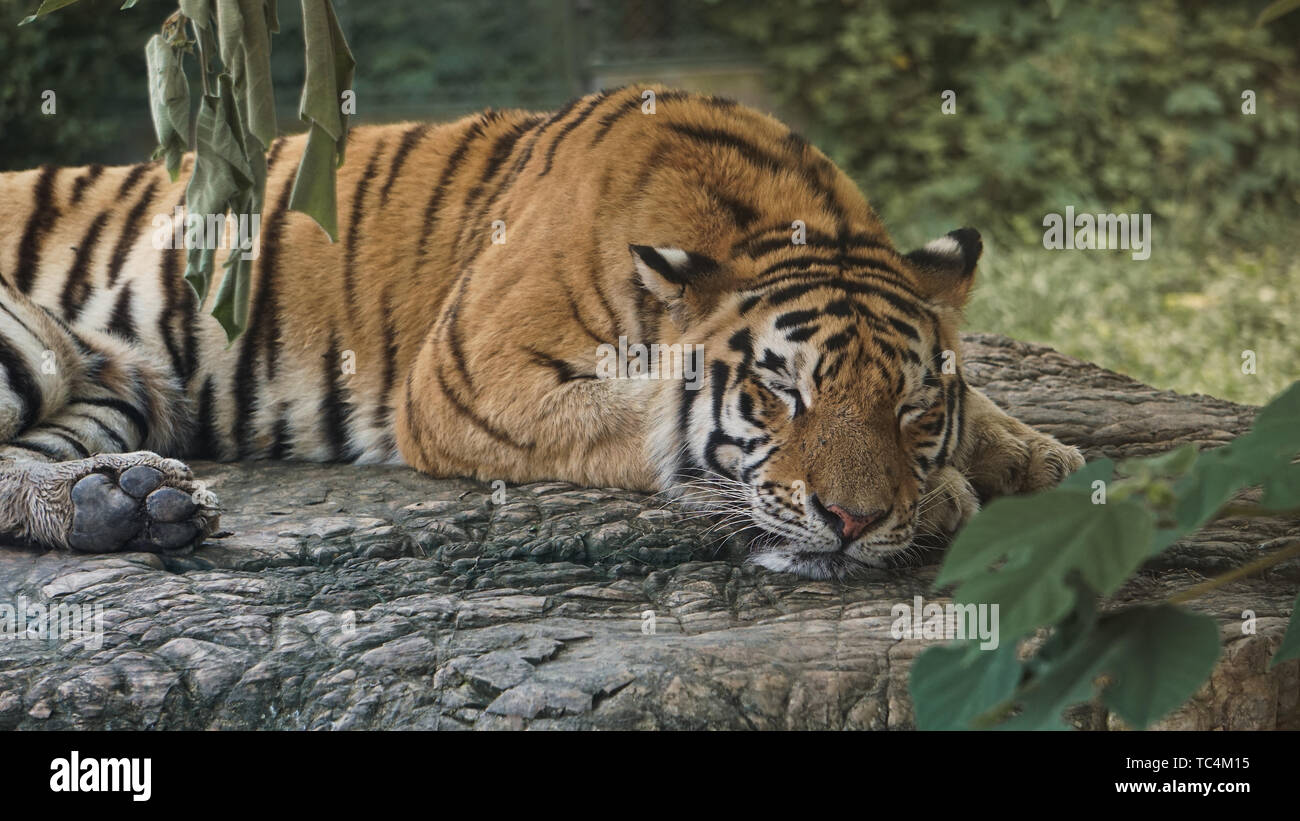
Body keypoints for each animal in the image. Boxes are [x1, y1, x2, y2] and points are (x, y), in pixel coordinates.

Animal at [0, 86, 1083, 579]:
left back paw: (123, 503)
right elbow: (641, 422)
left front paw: (1041, 460)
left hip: (107, 390)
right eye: (782, 393)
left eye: (910, 409)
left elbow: (983, 404)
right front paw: (947, 497)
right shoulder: (467, 381)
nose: (855, 520)